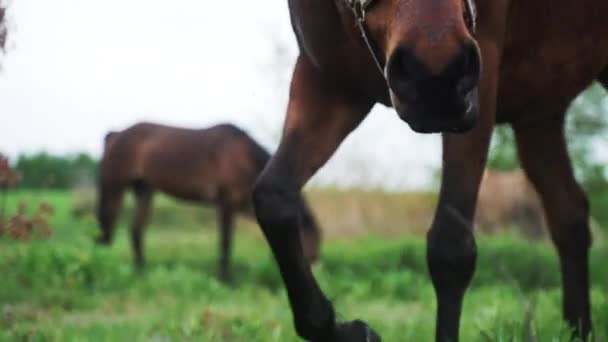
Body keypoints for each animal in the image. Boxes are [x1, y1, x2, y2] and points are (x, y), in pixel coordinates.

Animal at [96, 122, 324, 280]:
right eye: (309, 243)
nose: (312, 273)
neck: (242, 158)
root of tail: (116, 135)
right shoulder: (225, 205)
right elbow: (225, 242)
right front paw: (225, 278)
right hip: (115, 187)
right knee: (107, 226)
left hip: (144, 191)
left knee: (135, 230)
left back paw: (141, 269)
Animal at [252, 1, 608, 340]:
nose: (433, 72)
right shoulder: (329, 86)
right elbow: (273, 198)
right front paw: (353, 330)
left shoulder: (478, 82)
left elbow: (451, 249)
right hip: (539, 113)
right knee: (569, 214)